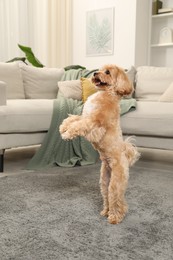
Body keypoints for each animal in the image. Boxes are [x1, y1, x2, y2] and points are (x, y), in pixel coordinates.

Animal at [59, 64, 139, 223]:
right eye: (100, 69)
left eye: (107, 72)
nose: (96, 73)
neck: (106, 93)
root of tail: (125, 157)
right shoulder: (85, 116)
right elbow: (73, 119)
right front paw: (63, 127)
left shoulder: (94, 124)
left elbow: (78, 125)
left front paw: (67, 134)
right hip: (104, 181)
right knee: (108, 198)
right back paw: (105, 212)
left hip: (115, 183)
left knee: (118, 201)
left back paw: (114, 218)